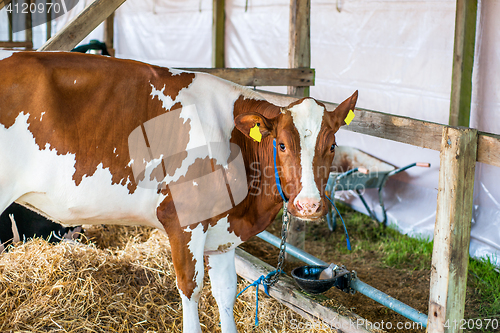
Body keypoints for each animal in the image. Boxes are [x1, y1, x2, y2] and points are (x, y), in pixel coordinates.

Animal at [0, 50, 360, 330]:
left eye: (331, 145)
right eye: (282, 144)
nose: (309, 205)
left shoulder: (223, 231)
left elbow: (225, 293)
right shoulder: (183, 222)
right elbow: (191, 289)